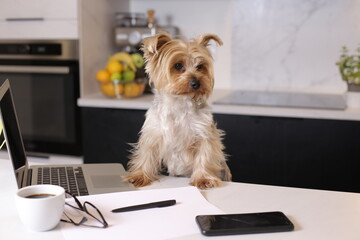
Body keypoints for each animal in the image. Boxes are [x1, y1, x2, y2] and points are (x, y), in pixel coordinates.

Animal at [126, 32, 232, 189]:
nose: (196, 83)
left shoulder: (204, 133)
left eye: (200, 66)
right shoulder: (153, 132)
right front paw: (140, 176)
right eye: (178, 65)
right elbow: (147, 153)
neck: (180, 102)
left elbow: (205, 154)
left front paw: (203, 179)